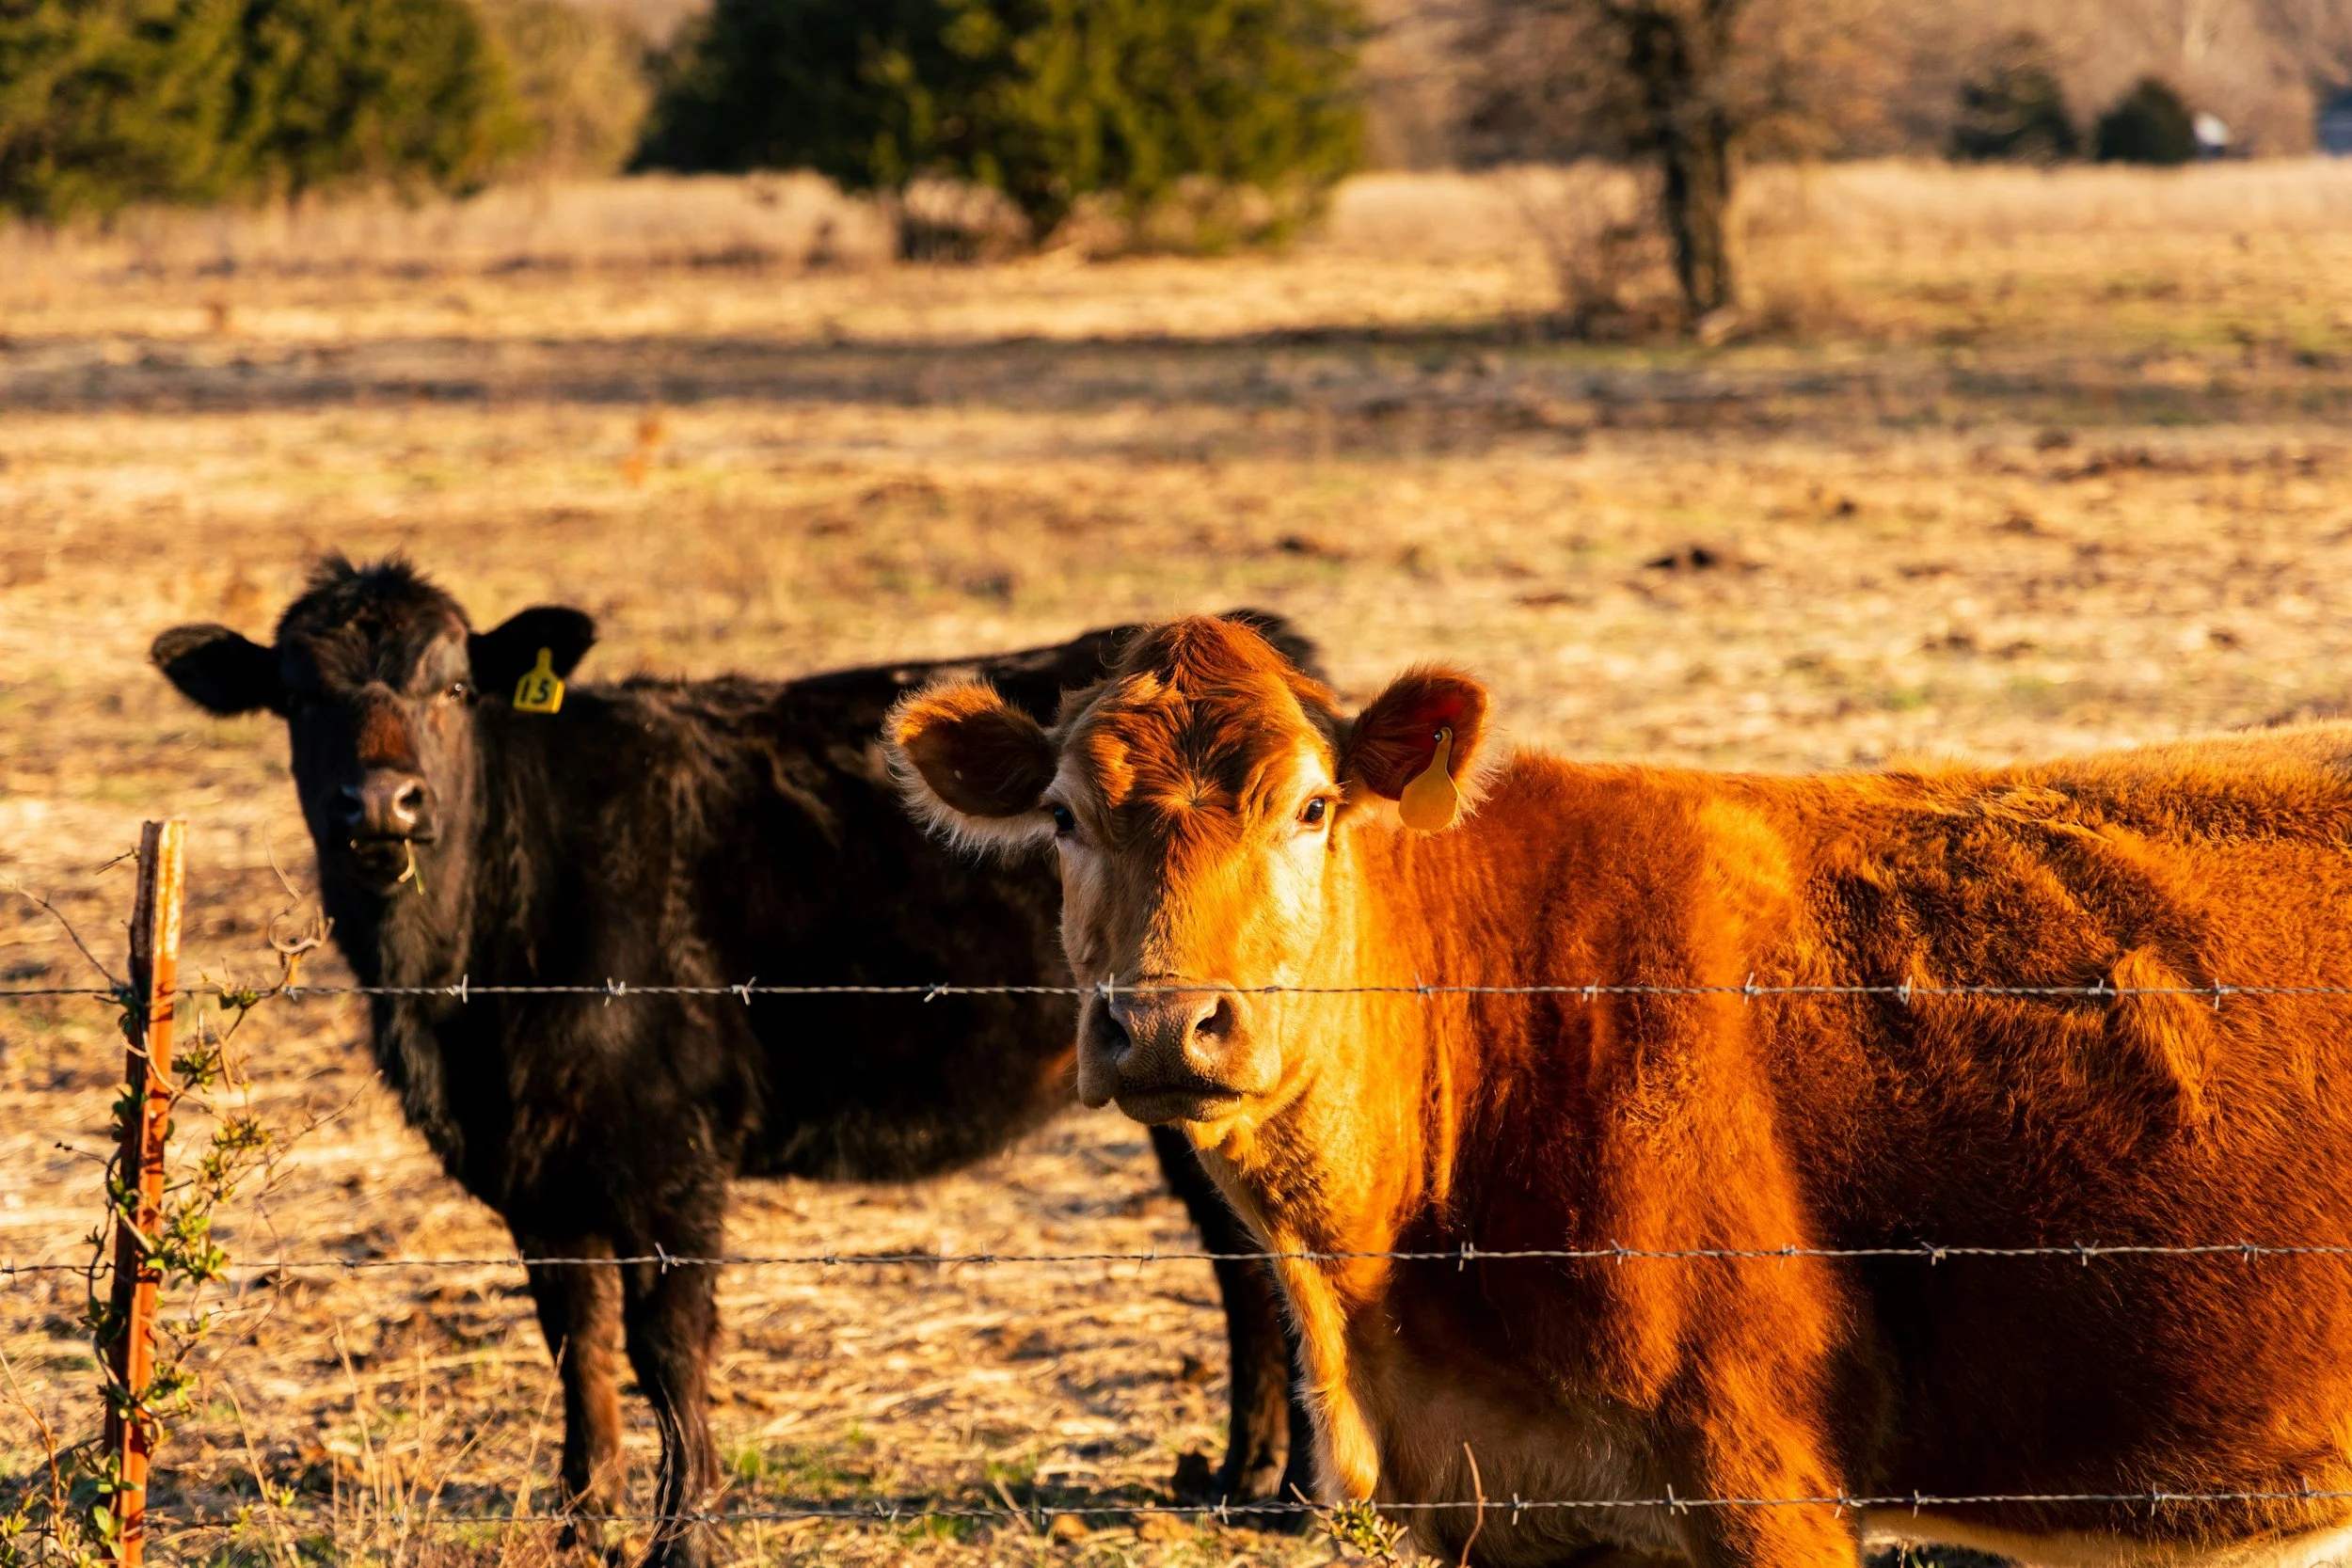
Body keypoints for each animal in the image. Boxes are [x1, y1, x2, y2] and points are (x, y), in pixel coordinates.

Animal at [150, 563, 1317, 1568]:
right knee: (1240, 1256)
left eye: (453, 687)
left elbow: (668, 1345)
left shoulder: (670, 1150)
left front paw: (685, 1537)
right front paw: (582, 1523)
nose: (383, 805)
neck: (453, 996)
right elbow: (576, 1340)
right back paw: (1237, 1474)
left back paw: (1300, 1497)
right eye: (298, 698)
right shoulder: (534, 1168)